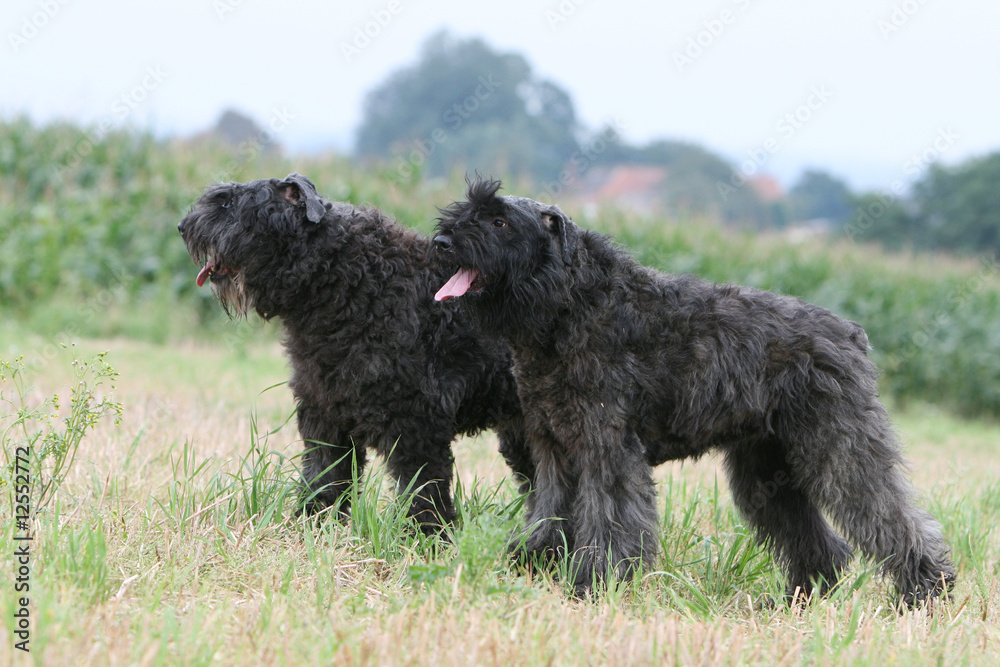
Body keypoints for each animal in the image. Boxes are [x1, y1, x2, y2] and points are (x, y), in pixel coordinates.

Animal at [177, 175, 532, 536]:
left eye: (230, 204)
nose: (182, 226)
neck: (346, 279)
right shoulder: (324, 414)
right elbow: (324, 475)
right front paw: (313, 522)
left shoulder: (416, 421)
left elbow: (422, 485)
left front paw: (426, 535)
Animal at [434, 176, 956, 604]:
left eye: (499, 220)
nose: (441, 240)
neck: (568, 307)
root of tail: (850, 333)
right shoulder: (554, 449)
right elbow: (549, 512)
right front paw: (532, 564)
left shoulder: (607, 448)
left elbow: (609, 519)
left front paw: (594, 583)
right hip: (767, 469)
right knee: (817, 541)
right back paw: (799, 599)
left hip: (841, 451)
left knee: (888, 516)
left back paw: (927, 592)